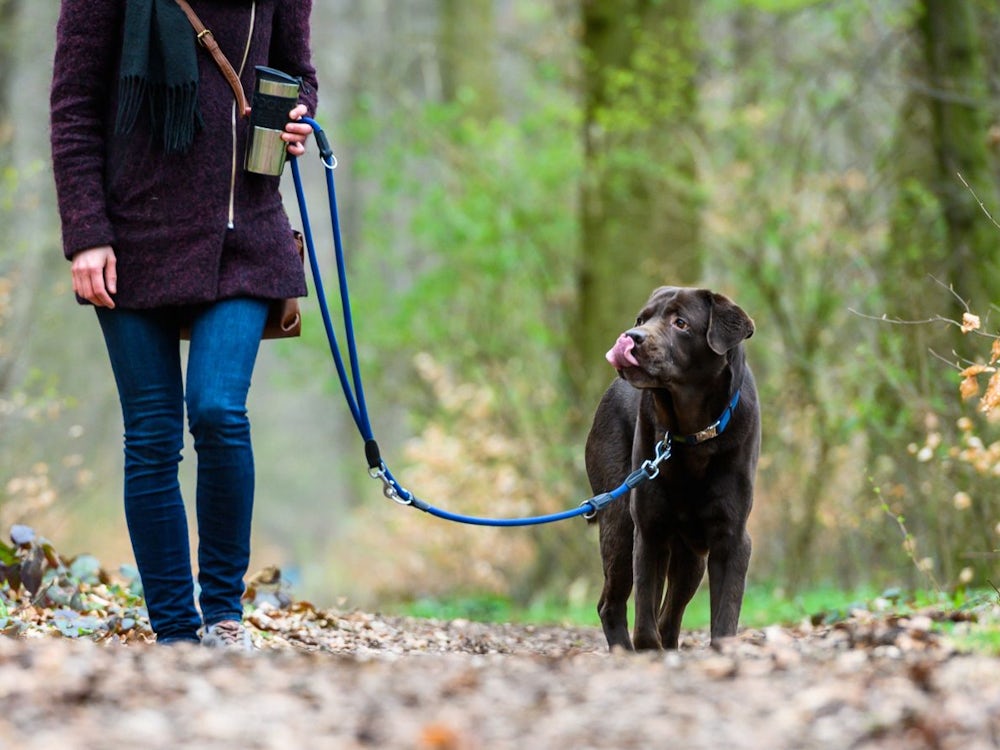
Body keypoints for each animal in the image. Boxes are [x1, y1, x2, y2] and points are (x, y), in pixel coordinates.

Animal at [584, 288, 756, 652]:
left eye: (681, 323)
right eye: (641, 318)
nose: (631, 336)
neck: (693, 434)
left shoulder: (732, 536)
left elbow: (724, 616)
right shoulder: (649, 529)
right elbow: (645, 620)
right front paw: (648, 650)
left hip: (692, 557)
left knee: (670, 614)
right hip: (620, 523)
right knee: (612, 604)